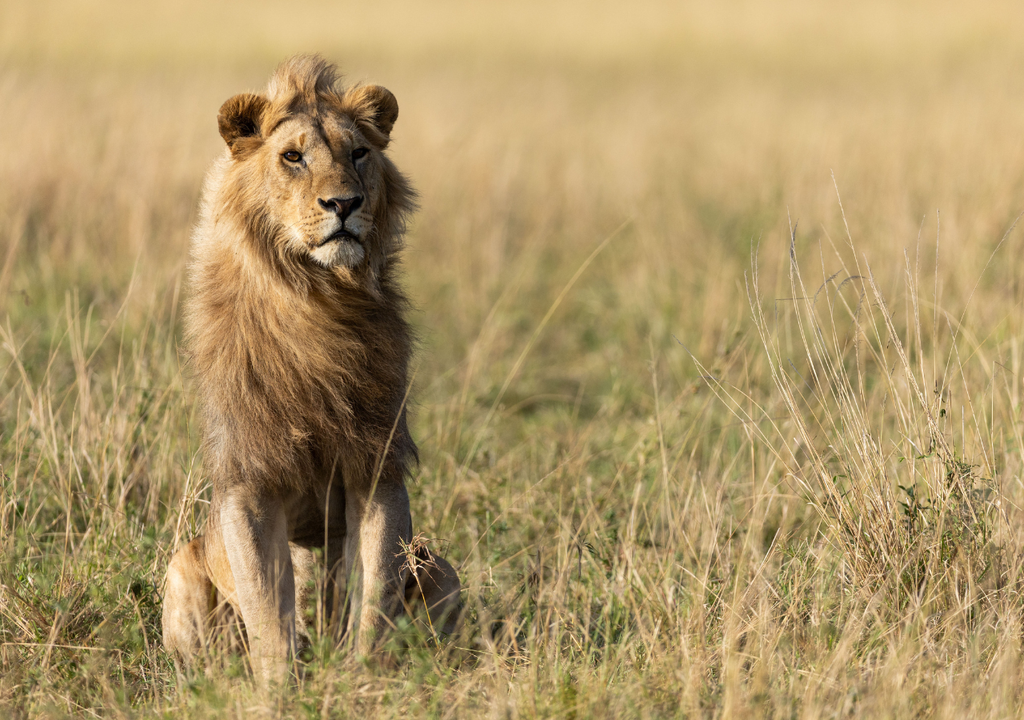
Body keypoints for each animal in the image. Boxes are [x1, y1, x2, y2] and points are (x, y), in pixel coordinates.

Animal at [161, 55, 461, 684]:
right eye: (293, 157)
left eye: (359, 154)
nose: (343, 204)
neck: (318, 300)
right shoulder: (249, 479)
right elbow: (268, 608)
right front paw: (278, 690)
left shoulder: (376, 466)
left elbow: (372, 595)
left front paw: (364, 680)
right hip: (183, 566)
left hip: (440, 566)